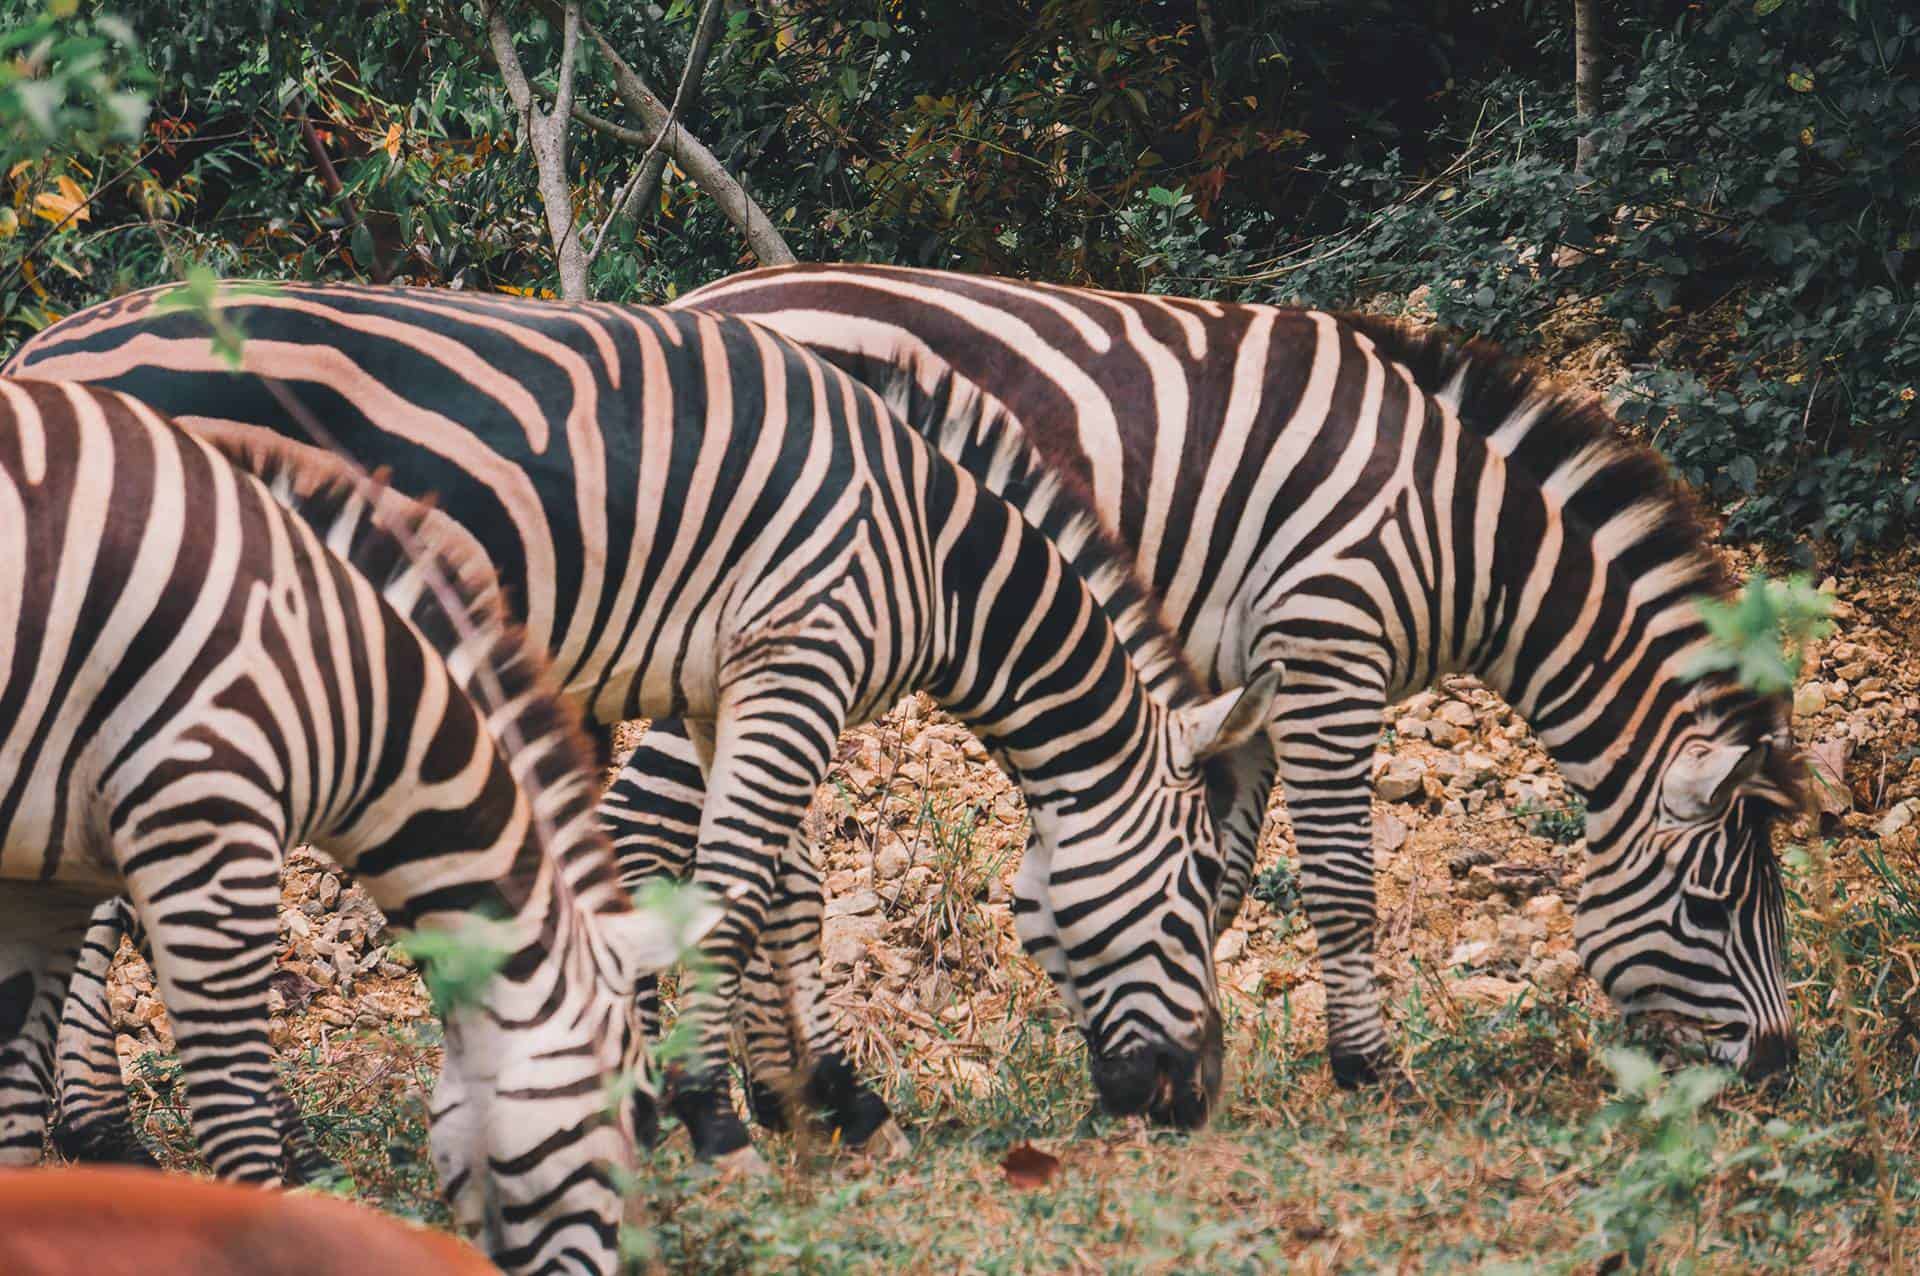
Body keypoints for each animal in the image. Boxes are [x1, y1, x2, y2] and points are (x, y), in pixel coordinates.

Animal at [0, 378, 714, 1274]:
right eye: (623, 1126)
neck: (343, 678)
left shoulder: (42, 882)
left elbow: (12, 1107)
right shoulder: (207, 824)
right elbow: (233, 1115)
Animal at [11, 287, 1274, 1166]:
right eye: (1190, 901)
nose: (1198, 1102)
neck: (929, 545)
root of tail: (45, 348)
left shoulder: (741, 686)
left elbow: (786, 893)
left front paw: (829, 1097)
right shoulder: (798, 660)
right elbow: (731, 893)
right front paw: (718, 1118)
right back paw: (129, 1137)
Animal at [645, 260, 1797, 1097]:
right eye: (1710, 909)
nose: (1782, 1069)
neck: (1468, 535)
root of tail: (692, 302)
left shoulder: (1243, 687)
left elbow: (1219, 874)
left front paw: (1181, 1042)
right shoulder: (1331, 651)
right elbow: (1340, 884)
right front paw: (1367, 1071)